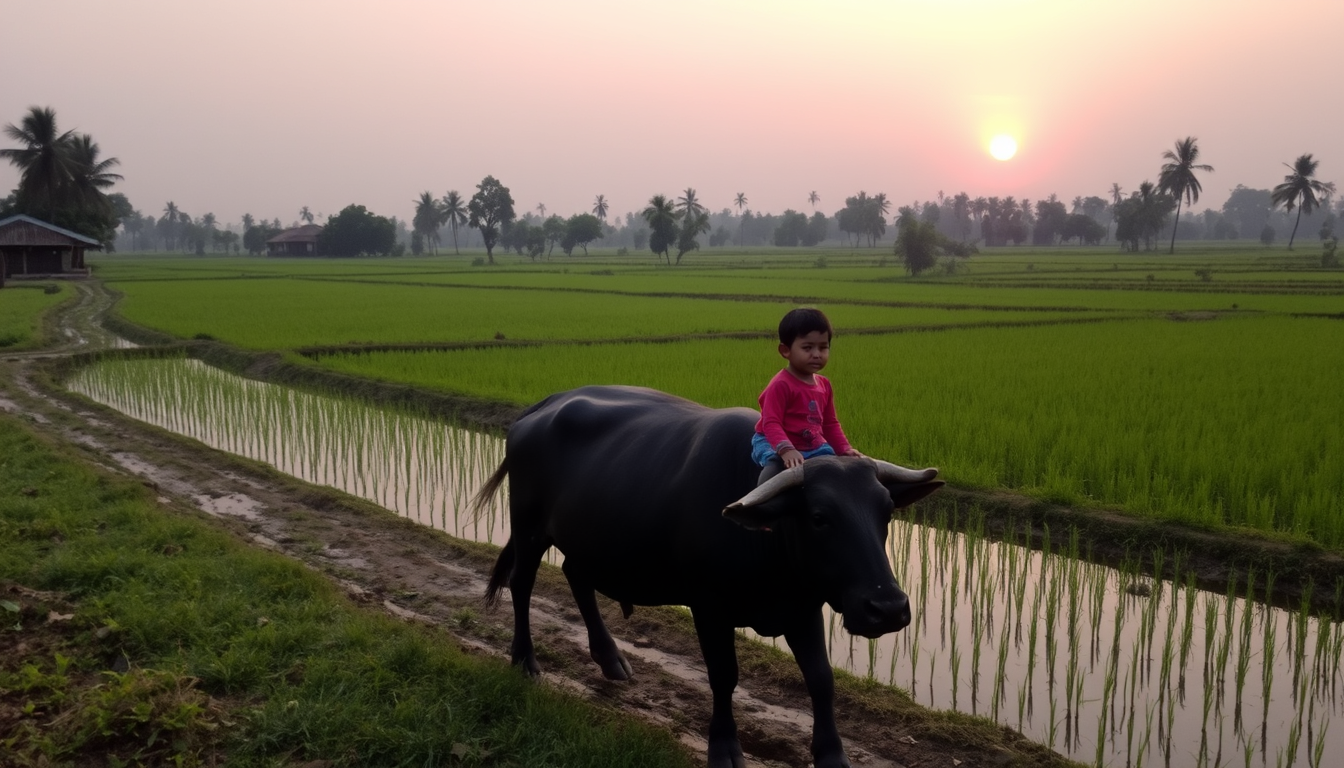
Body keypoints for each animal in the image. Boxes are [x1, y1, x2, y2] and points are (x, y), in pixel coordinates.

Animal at [475, 387, 946, 768]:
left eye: (886, 513)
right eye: (819, 517)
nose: (888, 608)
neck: (767, 537)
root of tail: (541, 407)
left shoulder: (803, 607)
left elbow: (821, 679)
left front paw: (832, 754)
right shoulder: (709, 607)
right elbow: (723, 675)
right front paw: (723, 747)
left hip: (587, 541)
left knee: (576, 576)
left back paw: (611, 659)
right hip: (529, 528)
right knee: (522, 584)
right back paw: (525, 660)